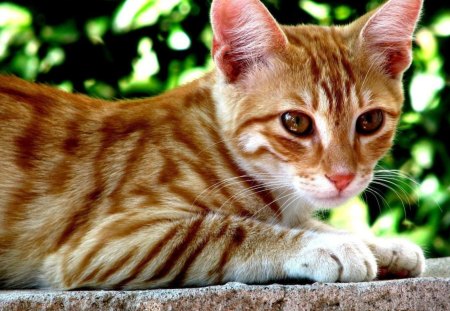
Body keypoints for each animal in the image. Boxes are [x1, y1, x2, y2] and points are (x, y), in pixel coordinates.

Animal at [0, 0, 424, 290]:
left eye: (369, 121)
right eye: (296, 123)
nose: (342, 178)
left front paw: (378, 244)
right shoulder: (107, 242)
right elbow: (226, 230)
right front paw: (330, 246)